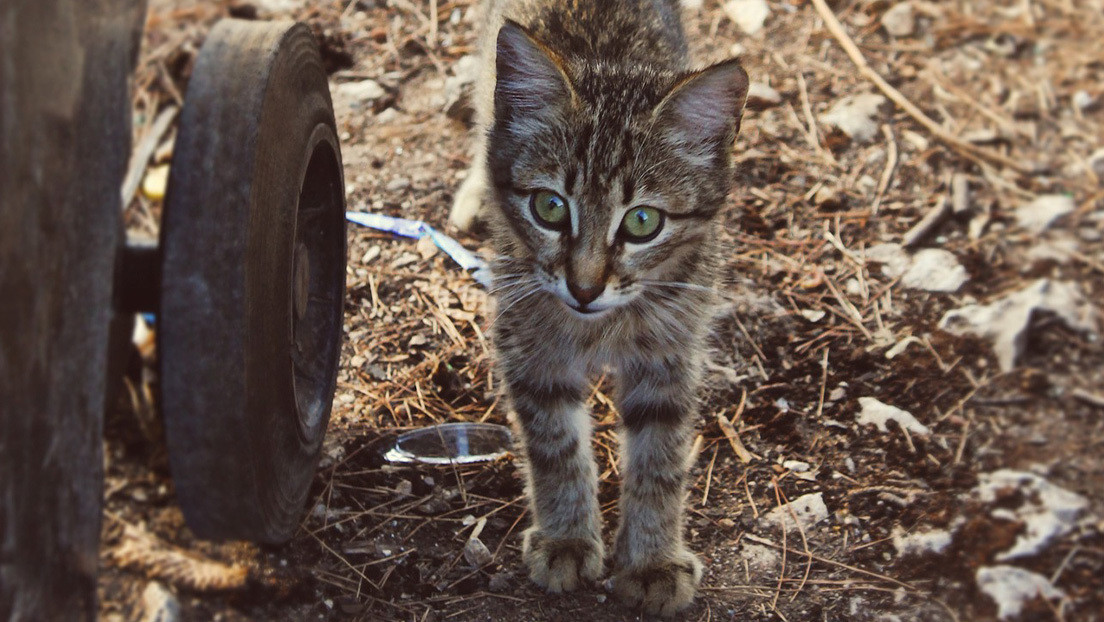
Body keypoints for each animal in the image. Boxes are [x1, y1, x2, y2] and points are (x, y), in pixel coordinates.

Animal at [450, 0, 750, 614]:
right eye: (548, 207)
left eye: (643, 221)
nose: (584, 288)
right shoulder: (528, 344)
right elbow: (555, 444)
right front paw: (566, 538)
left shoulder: (671, 354)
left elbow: (660, 457)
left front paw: (652, 560)